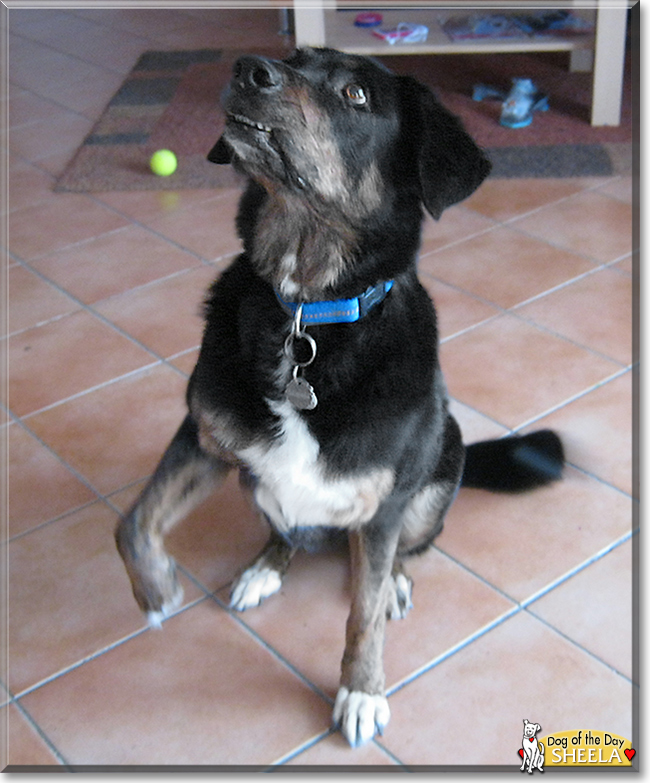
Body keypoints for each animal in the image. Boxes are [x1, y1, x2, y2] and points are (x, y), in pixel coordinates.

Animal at [116, 47, 560, 748]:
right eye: (291, 59)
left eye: (356, 94)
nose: (249, 68)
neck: (306, 310)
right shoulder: (205, 440)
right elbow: (134, 521)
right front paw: (155, 589)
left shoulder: (383, 506)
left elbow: (363, 614)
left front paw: (361, 691)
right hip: (253, 484)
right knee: (286, 533)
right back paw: (265, 566)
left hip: (438, 471)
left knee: (406, 551)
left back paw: (395, 581)